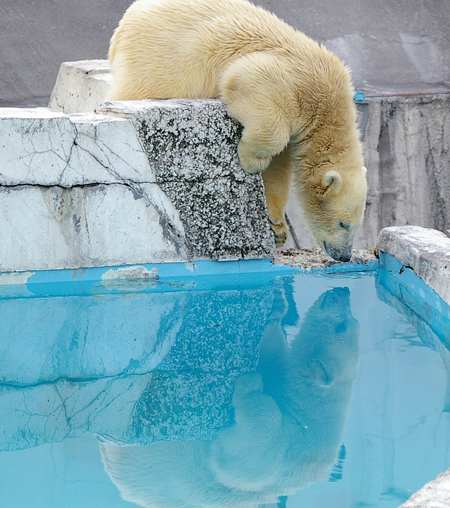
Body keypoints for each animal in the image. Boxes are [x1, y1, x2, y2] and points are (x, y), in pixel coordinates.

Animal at [107, 0, 368, 262]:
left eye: (357, 226)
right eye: (344, 224)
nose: (345, 256)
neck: (328, 108)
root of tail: (124, 24)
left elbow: (279, 169)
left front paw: (277, 226)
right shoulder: (291, 84)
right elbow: (247, 82)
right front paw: (250, 160)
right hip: (155, 61)